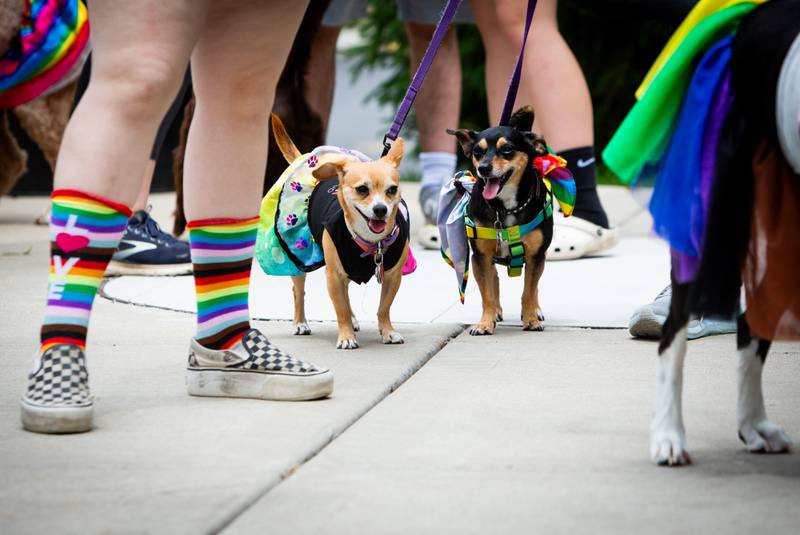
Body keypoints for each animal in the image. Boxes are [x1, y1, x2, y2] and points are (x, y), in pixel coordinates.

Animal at [272, 115, 410, 350]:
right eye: (362, 189)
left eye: (392, 190)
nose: (380, 209)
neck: (372, 242)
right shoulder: (334, 276)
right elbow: (341, 309)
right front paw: (346, 337)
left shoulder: (392, 276)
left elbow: (383, 308)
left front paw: (388, 332)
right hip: (300, 260)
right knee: (299, 292)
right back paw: (300, 323)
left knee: (346, 294)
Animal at [446, 105, 552, 336]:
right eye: (478, 152)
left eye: (507, 149)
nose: (484, 168)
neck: (503, 208)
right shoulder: (480, 257)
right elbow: (487, 295)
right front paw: (485, 323)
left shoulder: (535, 256)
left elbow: (528, 291)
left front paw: (530, 319)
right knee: (494, 281)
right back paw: (495, 312)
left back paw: (536, 311)